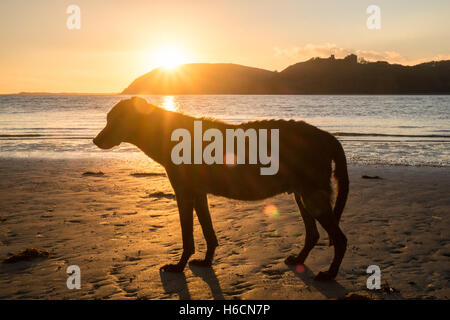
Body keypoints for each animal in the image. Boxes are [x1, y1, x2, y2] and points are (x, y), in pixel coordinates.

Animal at [93, 97, 350, 280]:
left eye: (117, 119)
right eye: (107, 118)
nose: (95, 141)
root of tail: (327, 137)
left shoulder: (184, 194)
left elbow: (188, 237)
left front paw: (178, 266)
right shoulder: (198, 194)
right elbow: (209, 233)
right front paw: (206, 262)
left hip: (312, 197)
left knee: (340, 238)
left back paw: (330, 274)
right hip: (302, 196)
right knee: (314, 234)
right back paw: (300, 259)